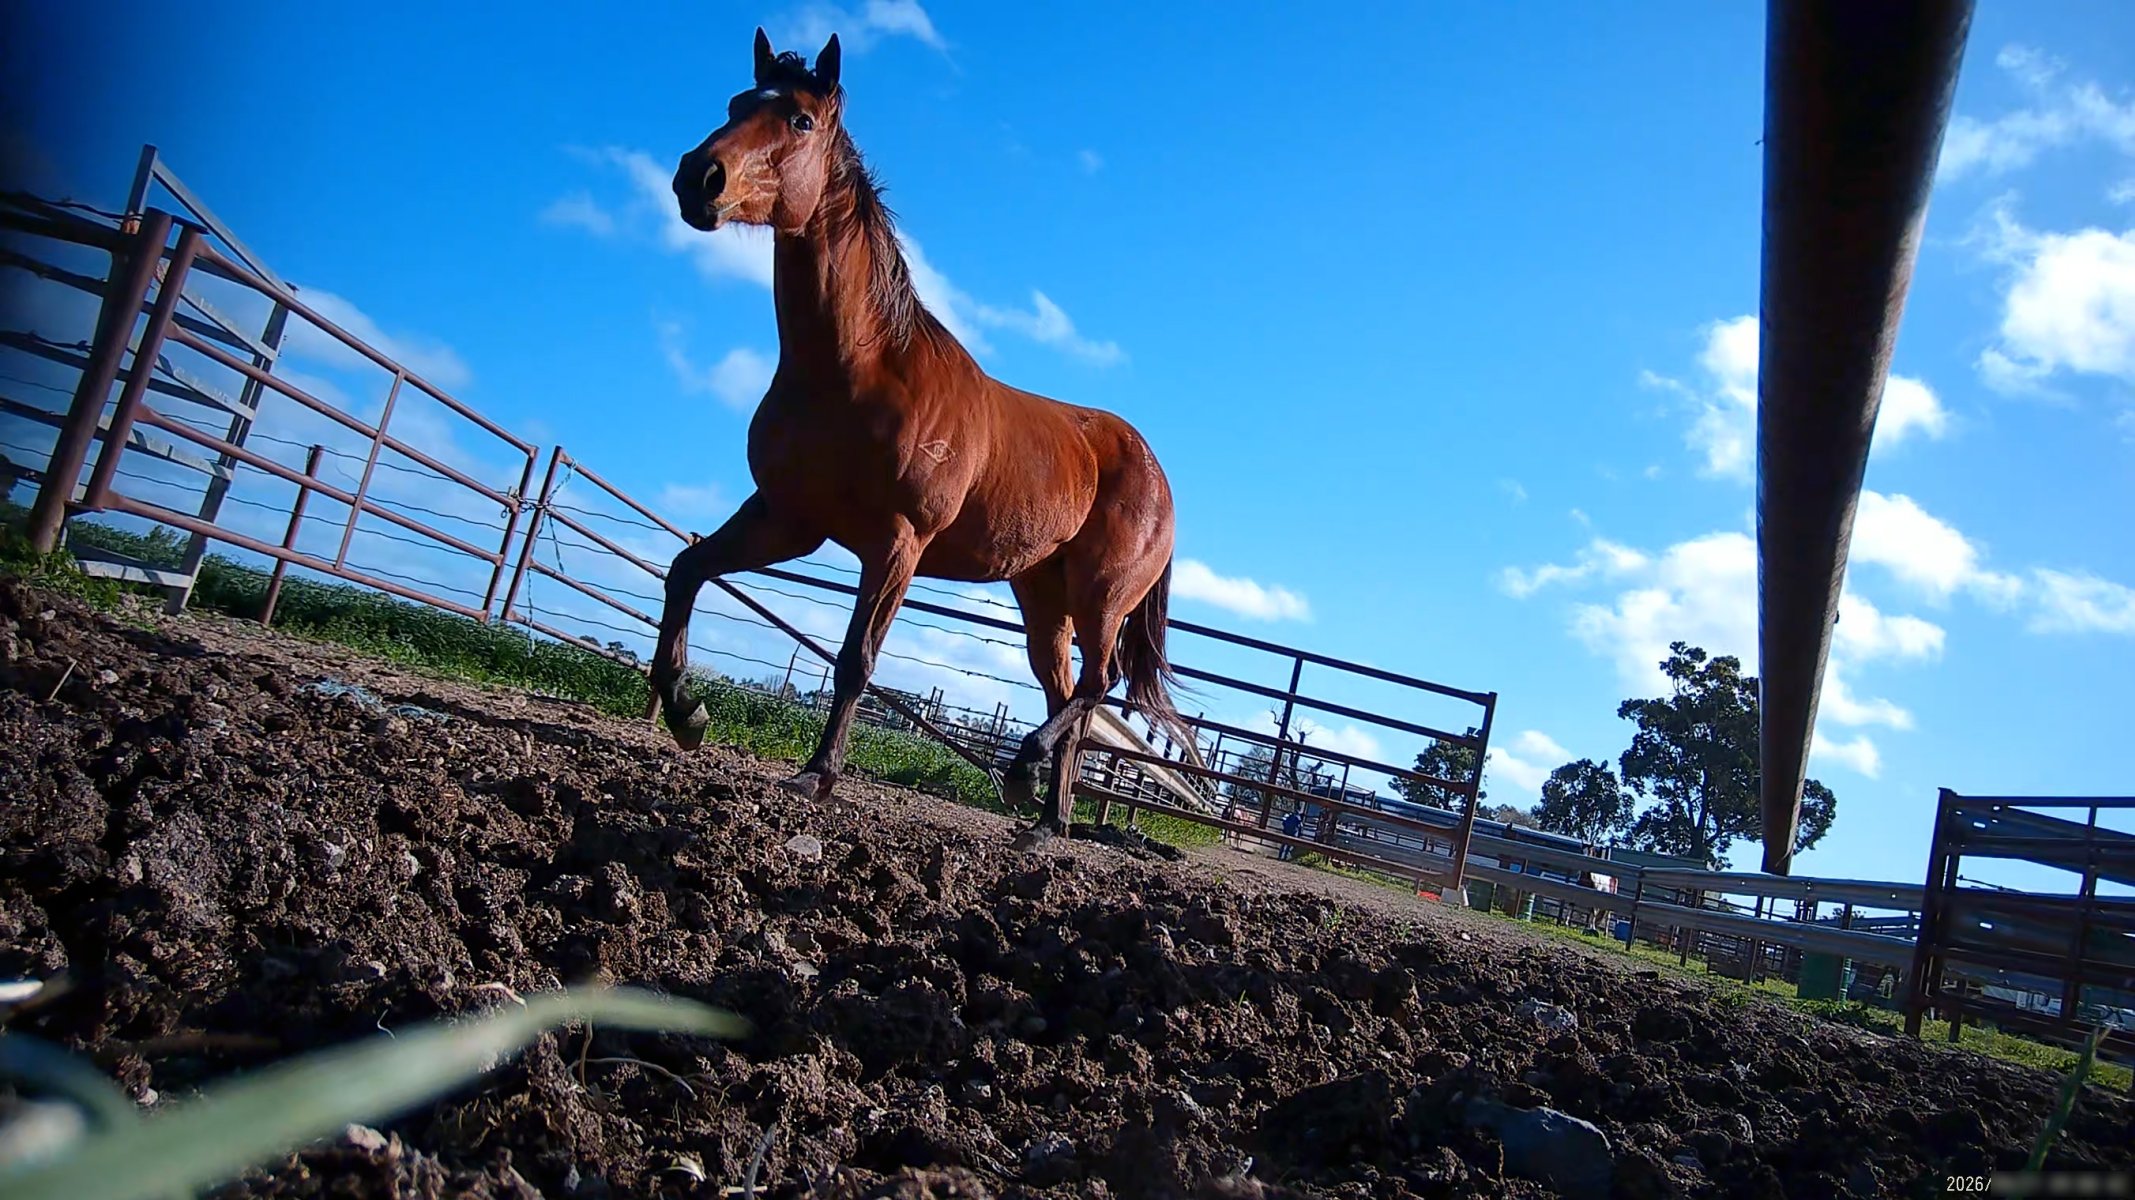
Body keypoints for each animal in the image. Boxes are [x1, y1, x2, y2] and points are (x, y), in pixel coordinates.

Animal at [652, 27, 1201, 847]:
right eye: (737, 102)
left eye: (801, 121)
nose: (699, 177)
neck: (857, 367)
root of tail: (1156, 472)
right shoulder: (786, 519)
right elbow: (687, 569)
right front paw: (686, 711)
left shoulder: (896, 544)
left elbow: (857, 658)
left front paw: (816, 775)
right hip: (1044, 600)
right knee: (1067, 695)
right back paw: (1046, 819)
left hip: (1101, 599)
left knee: (1095, 685)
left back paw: (1022, 771)